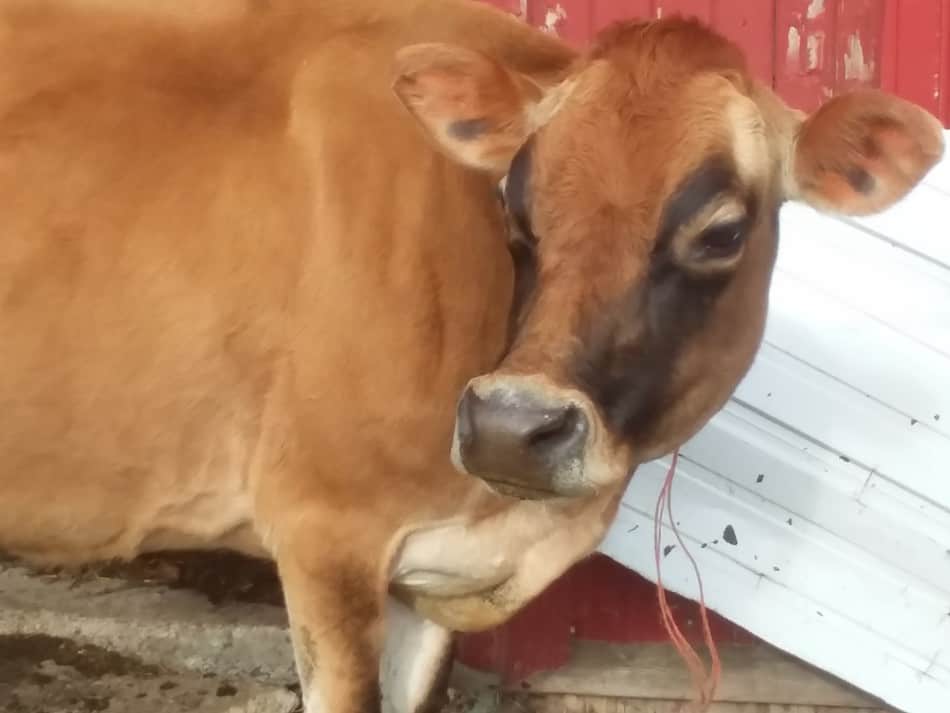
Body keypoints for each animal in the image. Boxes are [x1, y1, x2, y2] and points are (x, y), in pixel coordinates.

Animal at [0, 1, 944, 712]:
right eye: (512, 199)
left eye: (722, 231)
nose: (511, 425)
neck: (514, 525)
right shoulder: (324, 532)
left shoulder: (427, 581)